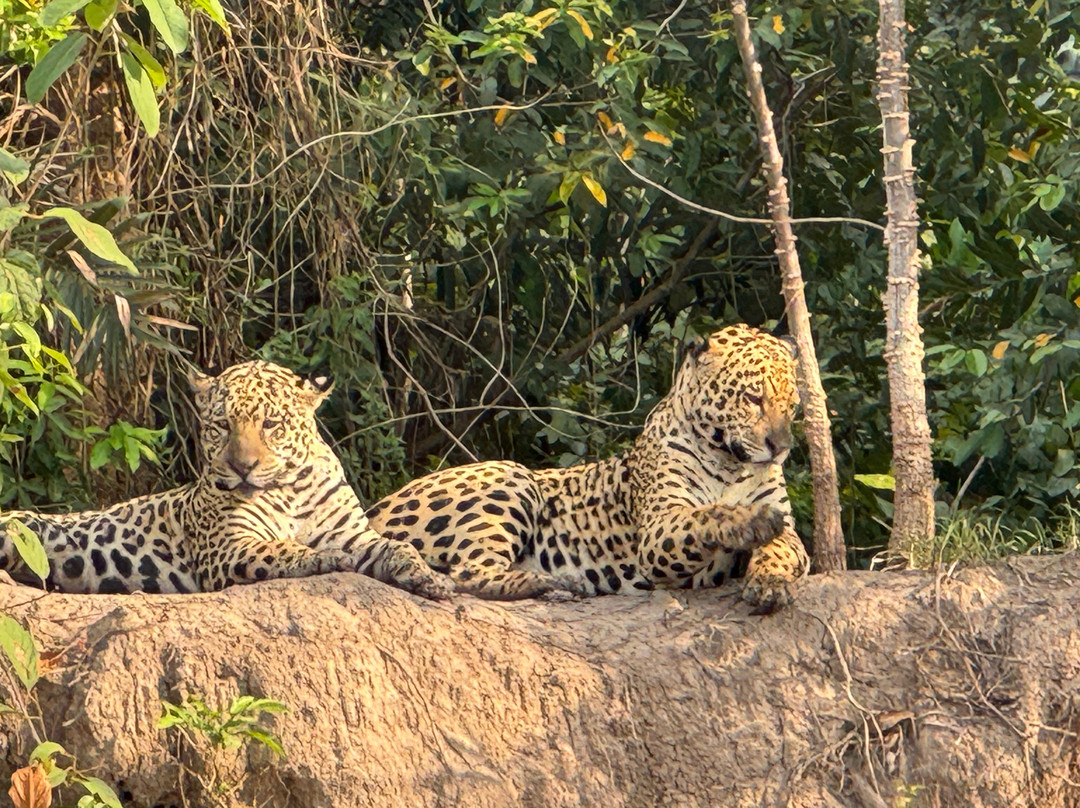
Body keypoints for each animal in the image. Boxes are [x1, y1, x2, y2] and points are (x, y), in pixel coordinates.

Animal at [0, 360, 453, 600]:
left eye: (270, 424)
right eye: (222, 426)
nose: (242, 466)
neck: (291, 490)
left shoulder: (354, 535)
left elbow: (397, 547)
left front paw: (428, 577)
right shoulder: (229, 547)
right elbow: (281, 549)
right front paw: (319, 558)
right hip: (21, 529)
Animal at [367, 324, 810, 610]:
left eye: (792, 405)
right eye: (753, 398)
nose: (780, 448)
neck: (730, 463)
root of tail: (373, 510)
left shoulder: (790, 529)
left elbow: (782, 549)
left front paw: (770, 583)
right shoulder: (658, 529)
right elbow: (704, 517)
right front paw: (747, 521)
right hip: (512, 478)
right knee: (469, 572)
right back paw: (559, 581)